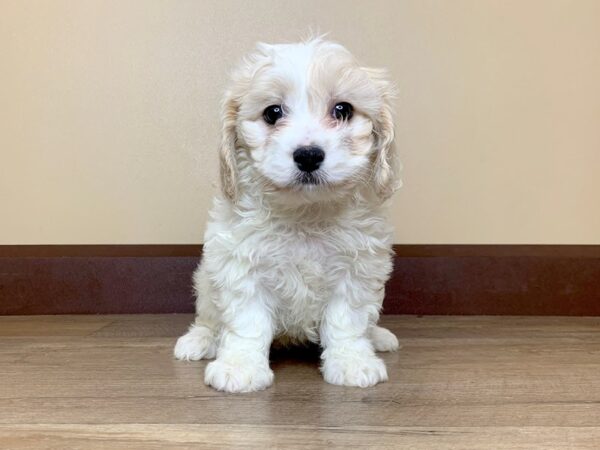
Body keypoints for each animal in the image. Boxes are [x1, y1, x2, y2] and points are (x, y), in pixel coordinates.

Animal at [173, 37, 398, 392]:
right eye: (272, 113)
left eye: (343, 110)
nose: (308, 155)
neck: (304, 213)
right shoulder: (241, 264)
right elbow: (247, 322)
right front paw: (240, 366)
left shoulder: (358, 268)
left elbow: (346, 320)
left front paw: (351, 361)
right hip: (206, 283)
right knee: (209, 318)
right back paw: (199, 340)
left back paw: (377, 336)